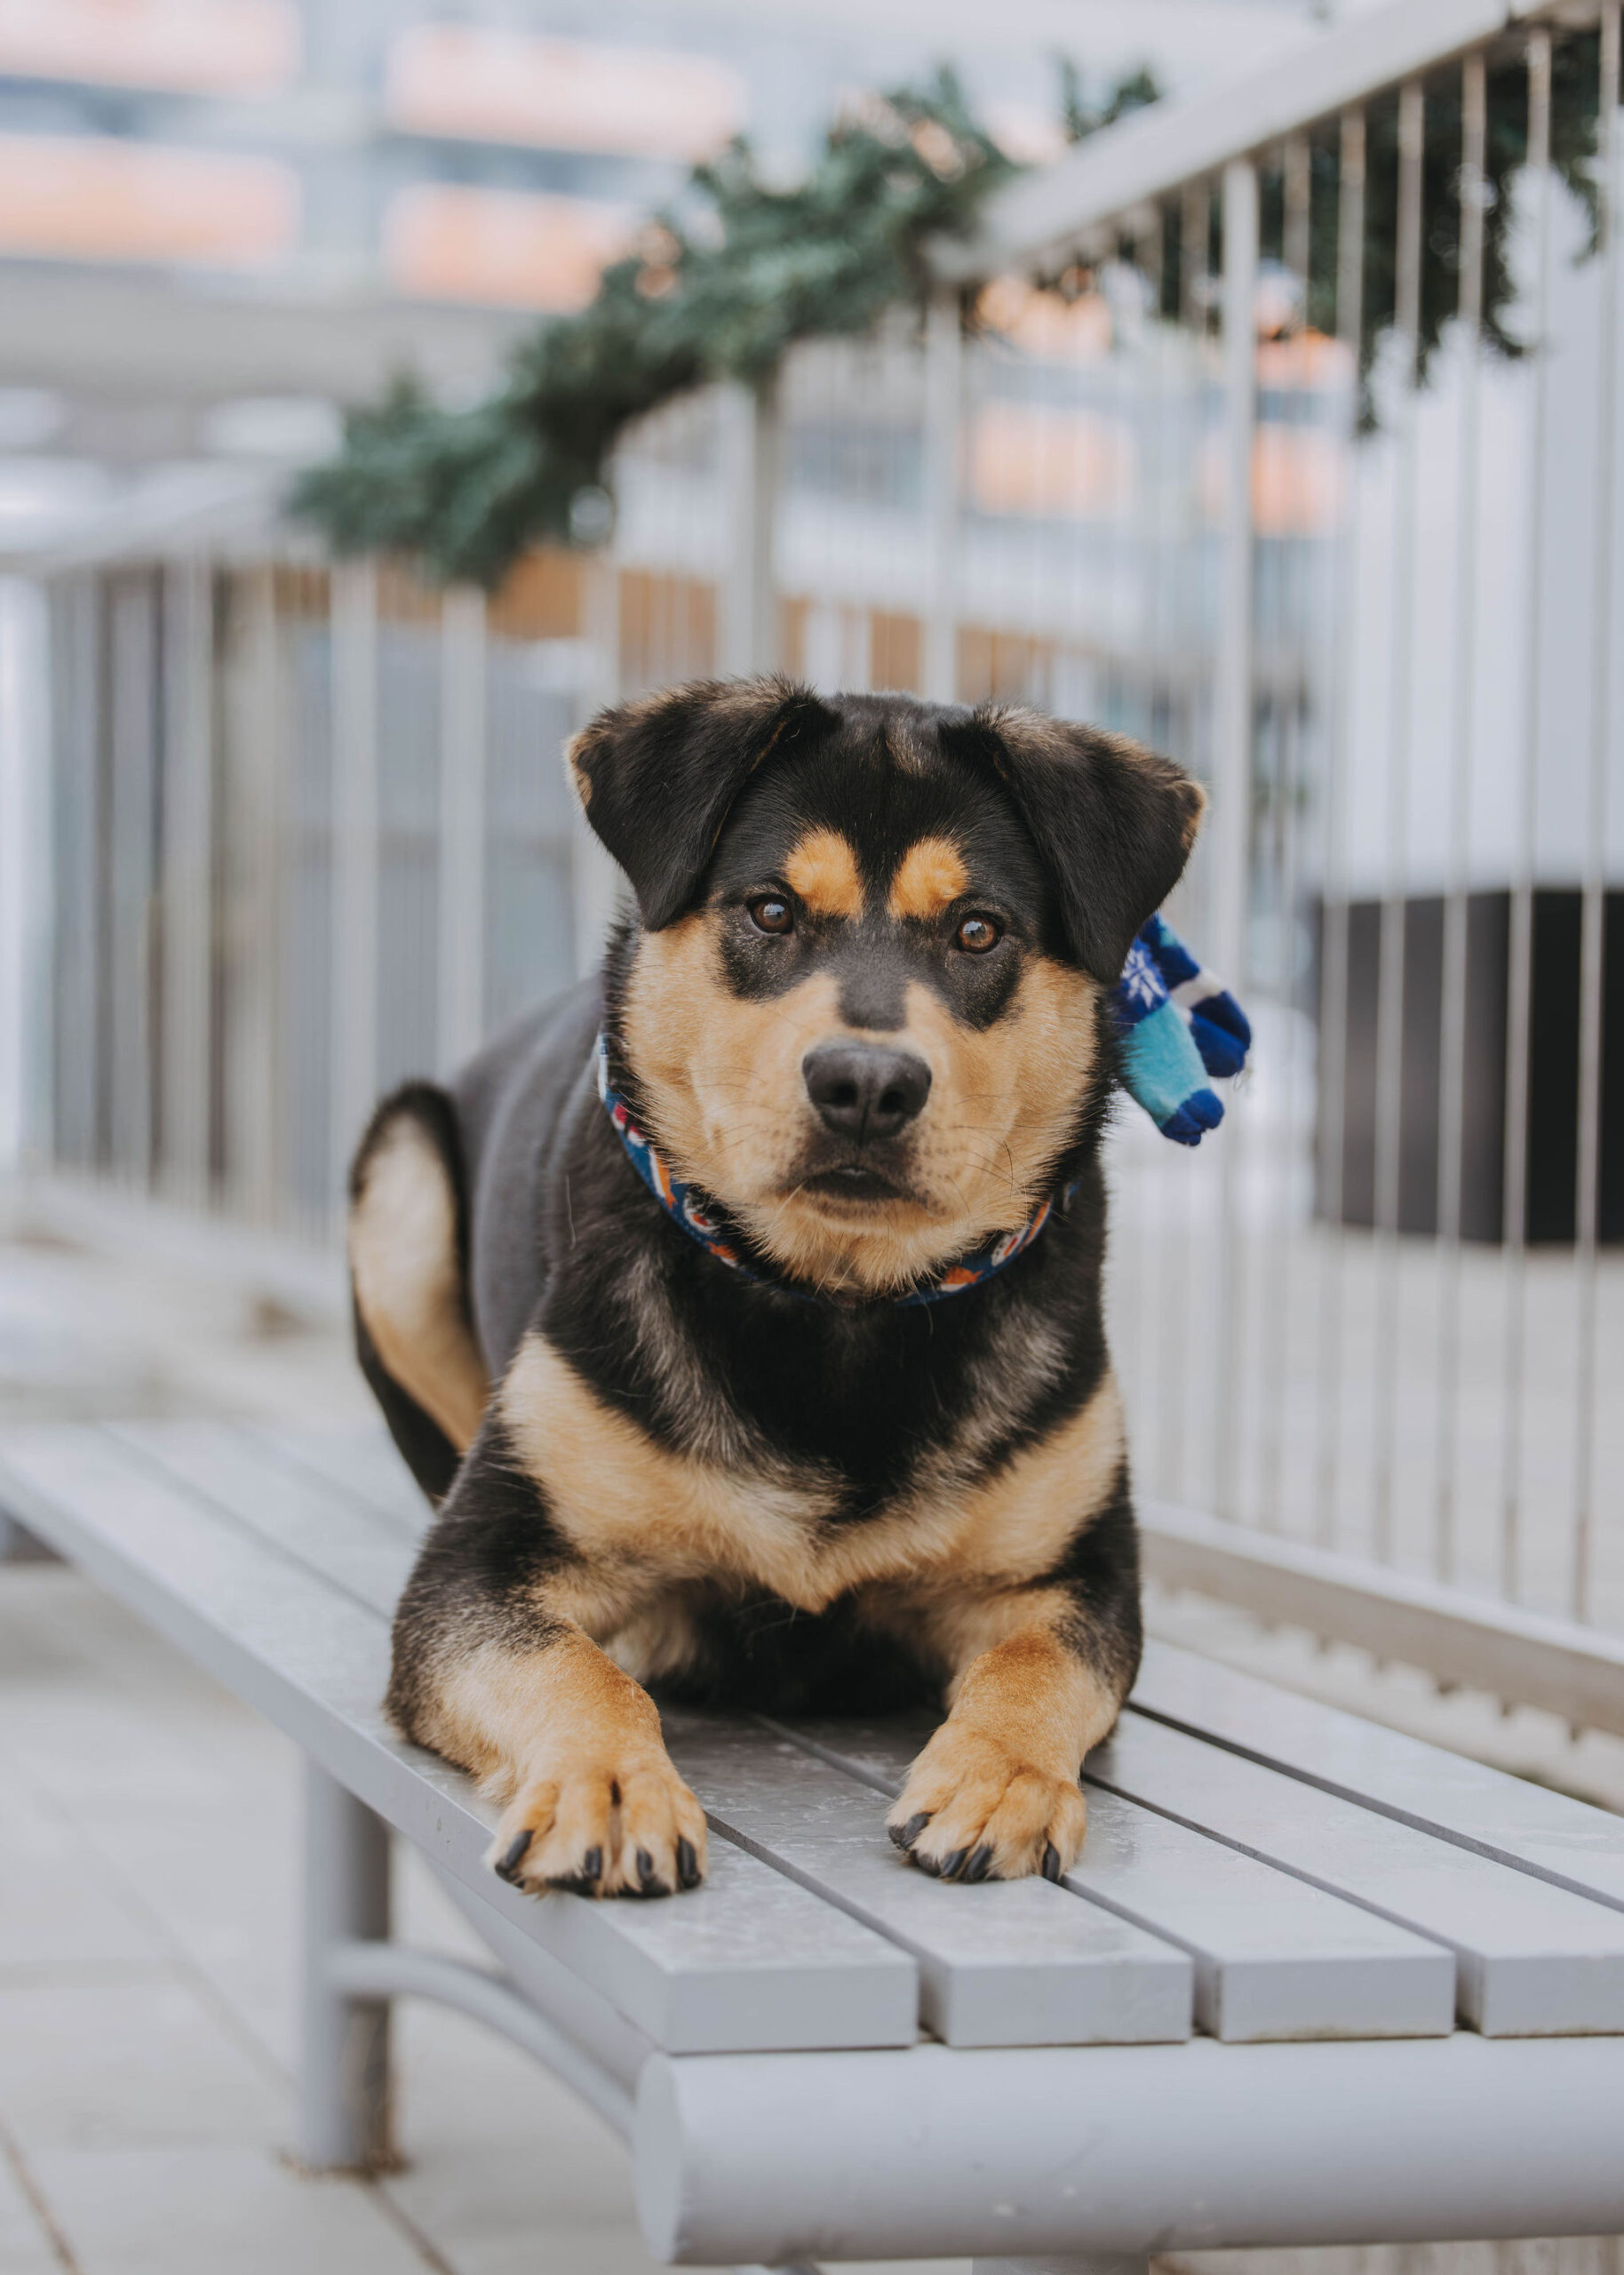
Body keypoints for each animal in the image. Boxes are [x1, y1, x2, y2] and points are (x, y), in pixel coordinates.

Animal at [349, 678, 1204, 1898]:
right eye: (768, 911)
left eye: (978, 930)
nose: (866, 1083)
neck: (835, 1304)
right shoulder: (474, 1569)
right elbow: (567, 1662)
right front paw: (609, 1784)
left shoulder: (1076, 1574)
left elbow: (1041, 1663)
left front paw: (998, 1779)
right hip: (402, 1178)